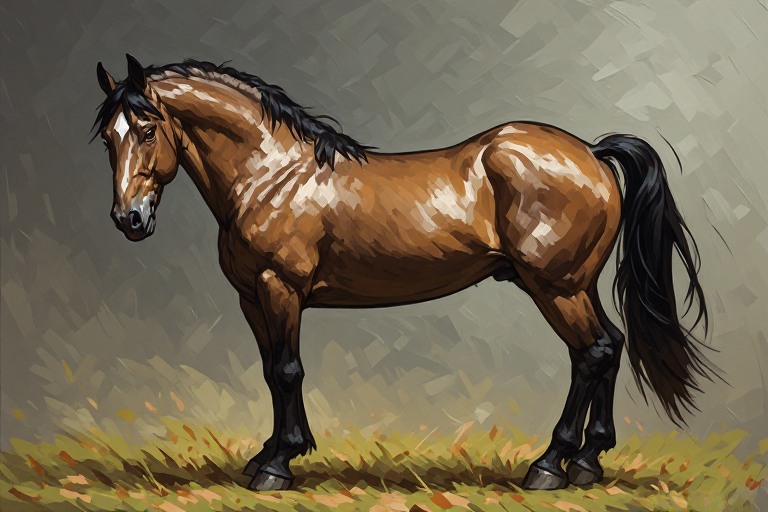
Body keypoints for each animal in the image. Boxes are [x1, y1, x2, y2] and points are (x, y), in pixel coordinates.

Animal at [93, 54, 717, 492]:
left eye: (146, 130)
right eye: (107, 137)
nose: (128, 219)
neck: (272, 173)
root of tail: (590, 151)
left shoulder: (280, 289)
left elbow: (289, 370)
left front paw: (279, 464)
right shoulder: (252, 298)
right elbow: (272, 371)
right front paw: (269, 453)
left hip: (556, 288)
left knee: (591, 353)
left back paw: (550, 464)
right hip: (576, 286)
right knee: (609, 347)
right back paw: (587, 460)